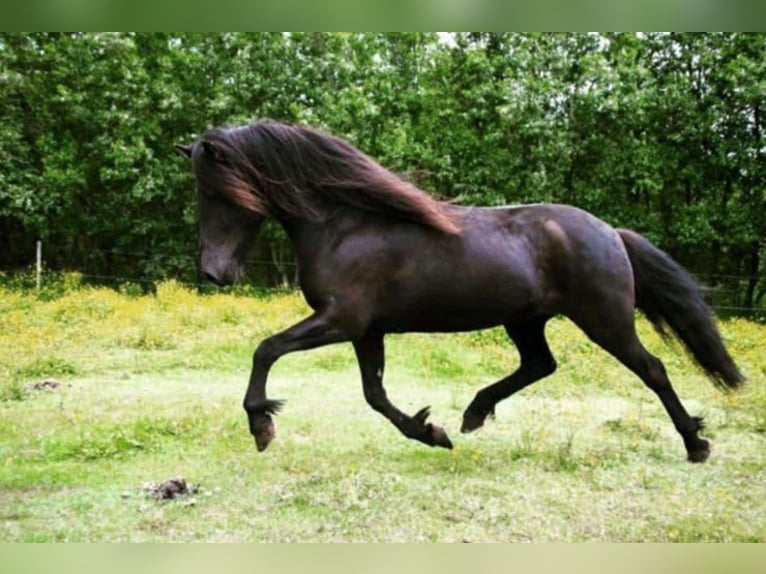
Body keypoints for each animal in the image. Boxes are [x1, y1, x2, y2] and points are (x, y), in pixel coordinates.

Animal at [178, 120, 744, 464]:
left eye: (213, 192)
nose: (213, 273)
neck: (345, 226)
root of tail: (610, 232)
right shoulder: (366, 331)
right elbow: (374, 394)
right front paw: (433, 432)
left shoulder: (343, 321)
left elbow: (266, 349)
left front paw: (261, 426)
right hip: (525, 320)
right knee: (540, 365)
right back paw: (473, 415)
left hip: (604, 320)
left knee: (653, 369)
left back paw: (696, 444)